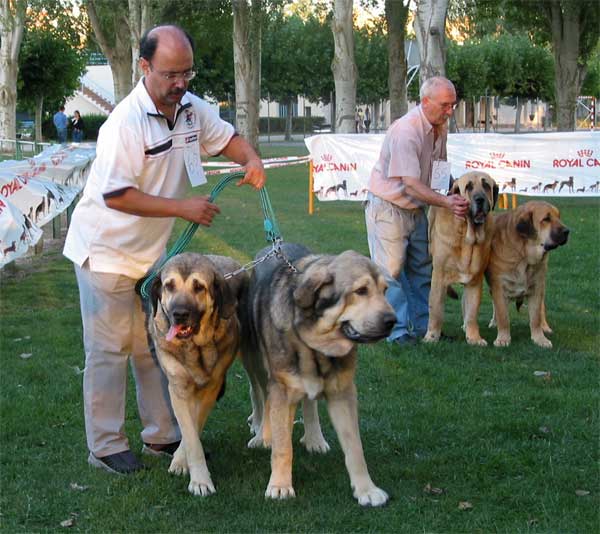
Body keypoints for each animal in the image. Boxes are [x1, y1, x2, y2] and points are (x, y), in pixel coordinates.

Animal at [146, 255, 247, 498]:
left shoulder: (211, 389)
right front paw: (194, 474)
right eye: (169, 286)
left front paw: (192, 472)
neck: (194, 348)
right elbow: (190, 435)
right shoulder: (178, 389)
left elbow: (194, 429)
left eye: (199, 287)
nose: (179, 314)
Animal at [239, 245, 398, 508]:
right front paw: (280, 485)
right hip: (256, 363)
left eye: (385, 291)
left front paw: (366, 489)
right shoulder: (281, 388)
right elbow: (283, 446)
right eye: (361, 291)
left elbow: (355, 447)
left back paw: (314, 438)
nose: (392, 321)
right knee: (260, 395)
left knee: (309, 404)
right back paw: (262, 432)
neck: (315, 344)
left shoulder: (343, 393)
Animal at [424, 172, 500, 348]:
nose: (480, 199)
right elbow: (435, 310)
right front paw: (431, 337)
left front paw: (474, 338)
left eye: (486, 185)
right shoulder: (438, 278)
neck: (467, 235)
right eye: (469, 187)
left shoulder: (474, 280)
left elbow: (472, 312)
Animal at [486, 200, 568, 348]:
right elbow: (503, 316)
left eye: (558, 217)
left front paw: (540, 339)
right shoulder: (499, 288)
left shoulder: (536, 288)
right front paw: (503, 338)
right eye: (546, 219)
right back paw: (494, 322)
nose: (567, 231)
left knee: (542, 308)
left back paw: (545, 327)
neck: (523, 256)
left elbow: (535, 318)